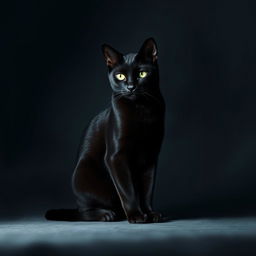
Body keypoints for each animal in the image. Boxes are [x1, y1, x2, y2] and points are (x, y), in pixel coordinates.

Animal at [45, 37, 166, 223]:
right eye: (120, 76)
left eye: (142, 74)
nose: (130, 86)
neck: (141, 109)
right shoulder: (116, 156)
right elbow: (127, 190)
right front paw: (136, 215)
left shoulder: (151, 156)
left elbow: (147, 190)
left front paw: (150, 213)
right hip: (83, 176)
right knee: (83, 212)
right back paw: (106, 214)